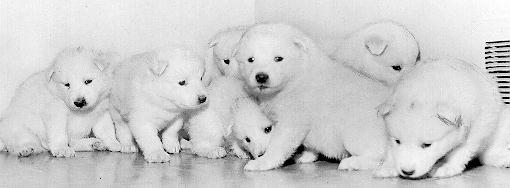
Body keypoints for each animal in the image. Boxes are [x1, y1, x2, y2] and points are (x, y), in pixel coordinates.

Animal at [235, 23, 390, 170]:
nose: (261, 77)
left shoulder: (292, 120)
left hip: (355, 131)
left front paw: (261, 162)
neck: (296, 78)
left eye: (278, 58)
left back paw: (351, 162)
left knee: (379, 156)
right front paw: (305, 156)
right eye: (251, 59)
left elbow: (279, 144)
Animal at [372, 58, 508, 178]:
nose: (407, 172)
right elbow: (391, 150)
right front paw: (388, 166)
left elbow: (461, 150)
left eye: (427, 145)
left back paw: (502, 158)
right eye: (397, 141)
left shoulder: (476, 129)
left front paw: (447, 167)